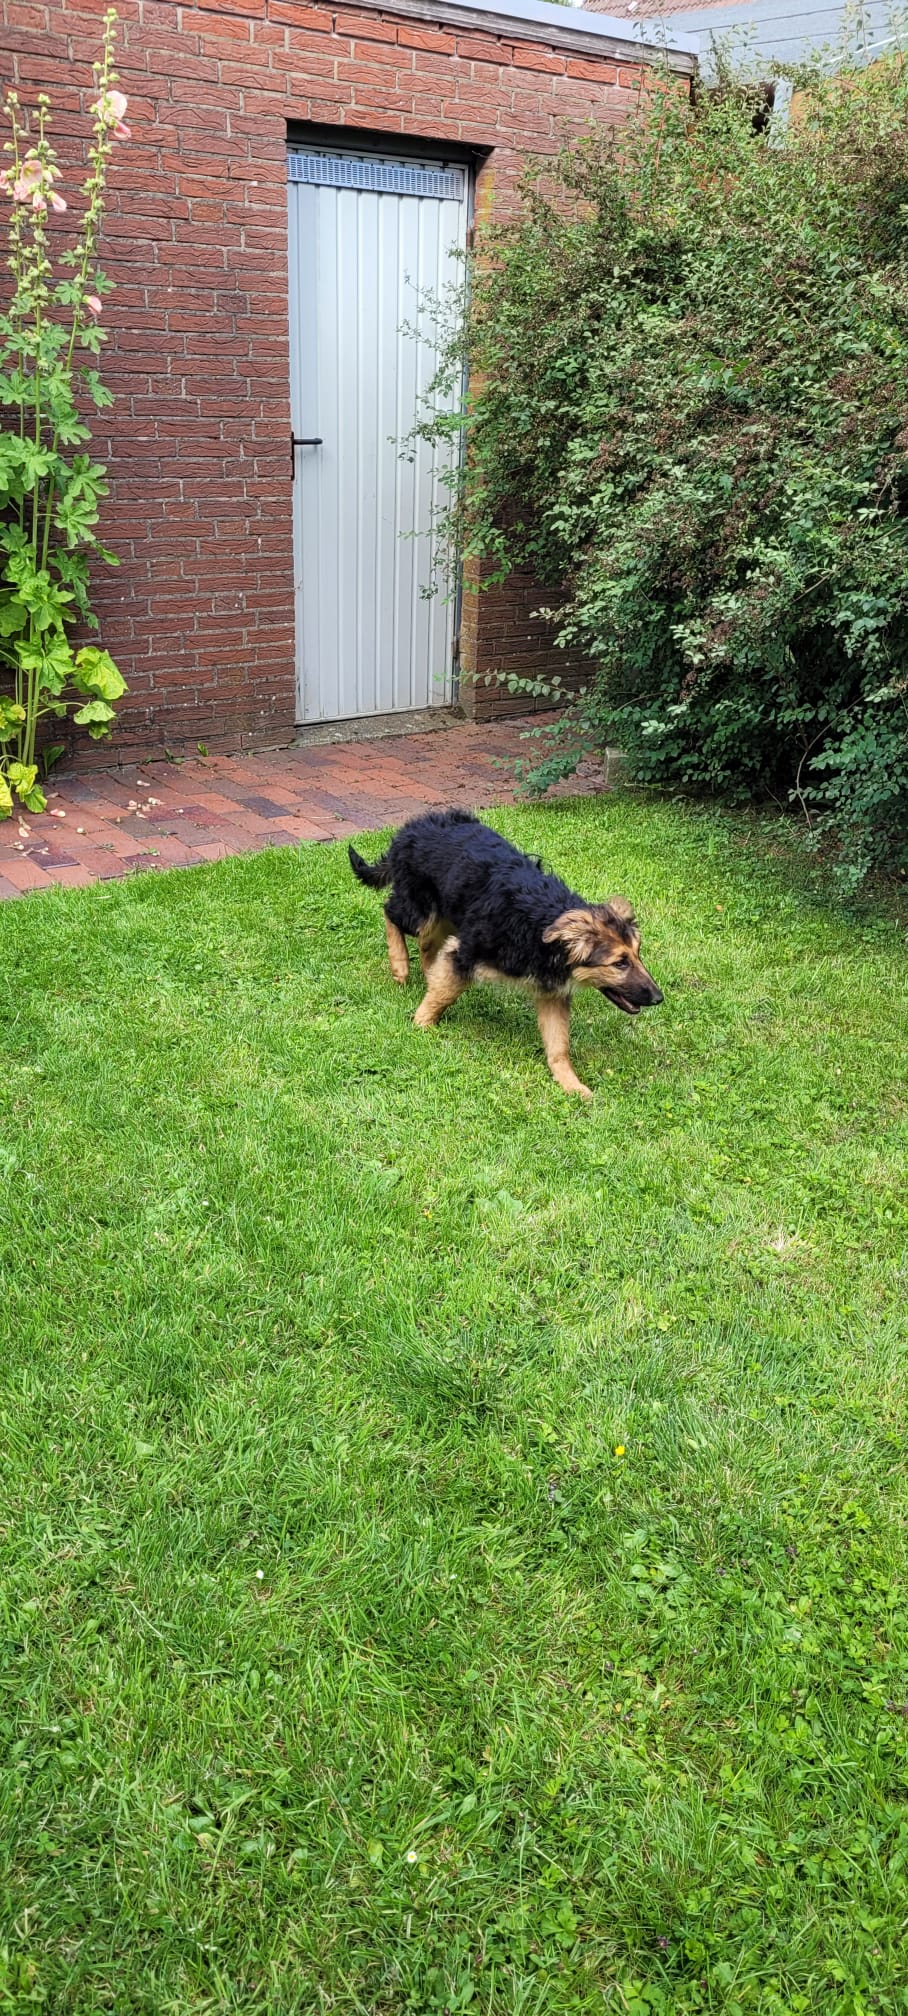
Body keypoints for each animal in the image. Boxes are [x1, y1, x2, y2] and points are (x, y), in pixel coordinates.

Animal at [349, 809, 662, 1098]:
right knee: (390, 912)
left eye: (638, 954)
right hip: (422, 909)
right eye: (619, 963)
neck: (540, 927)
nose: (659, 998)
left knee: (427, 945)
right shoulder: (466, 950)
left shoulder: (551, 994)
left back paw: (426, 974)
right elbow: (443, 995)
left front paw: (572, 1084)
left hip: (445, 914)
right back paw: (400, 965)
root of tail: (410, 827)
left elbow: (558, 1044)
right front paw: (421, 1025)